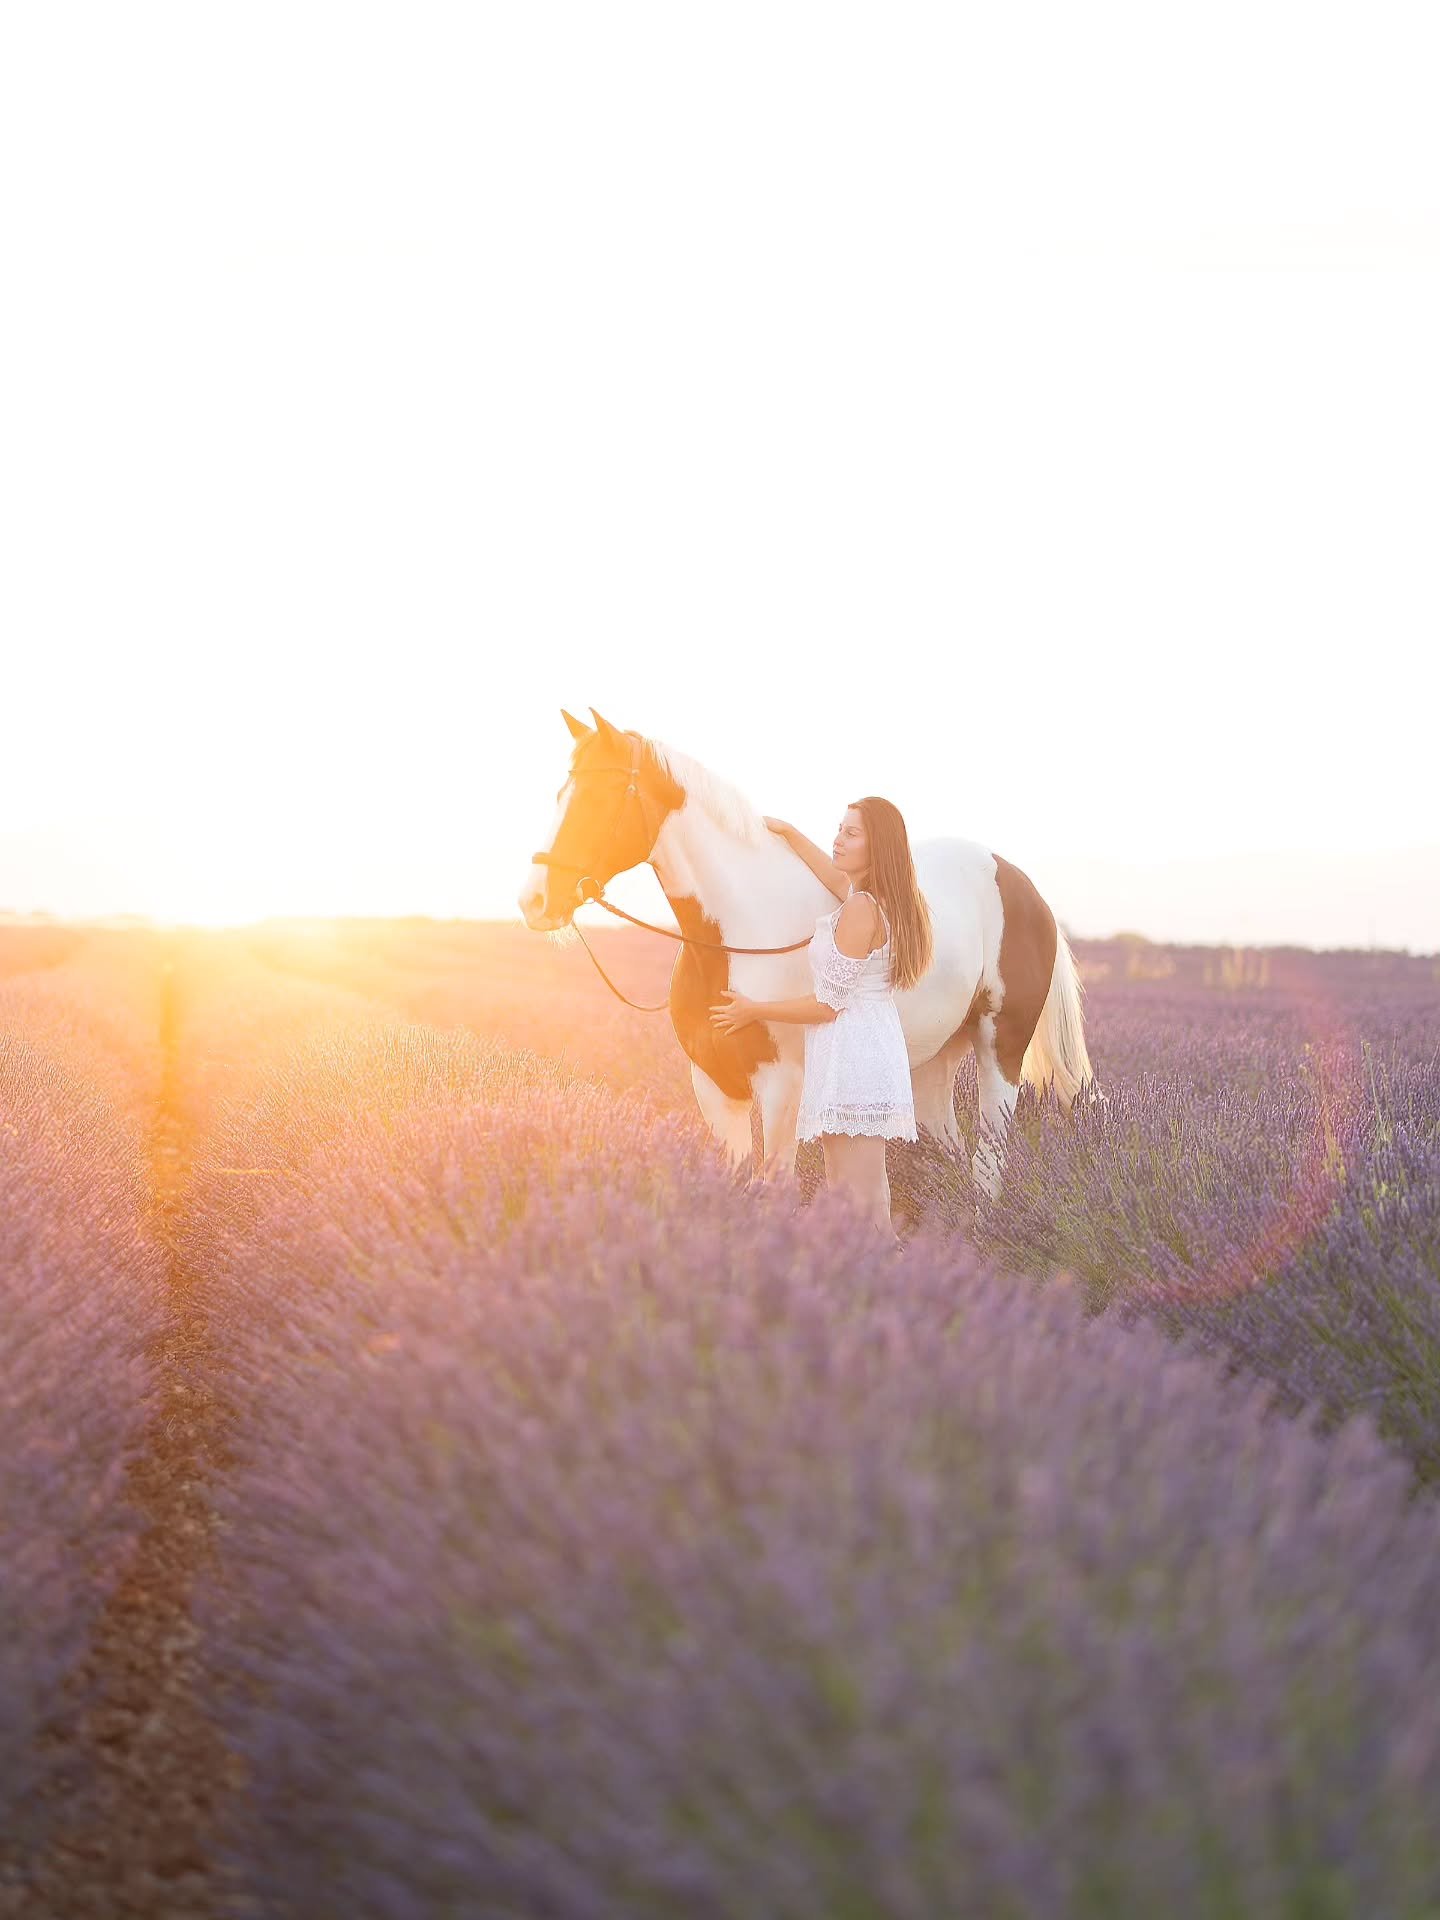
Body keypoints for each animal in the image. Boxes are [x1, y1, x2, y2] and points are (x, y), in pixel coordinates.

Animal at [518, 706, 1094, 1199]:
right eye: (560, 792)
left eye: (602, 795)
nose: (534, 902)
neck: (738, 933)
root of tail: (1021, 883)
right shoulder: (714, 1085)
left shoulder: (781, 1087)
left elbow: (775, 1187)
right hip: (938, 1058)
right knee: (948, 1152)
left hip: (1001, 1047)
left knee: (987, 1162)